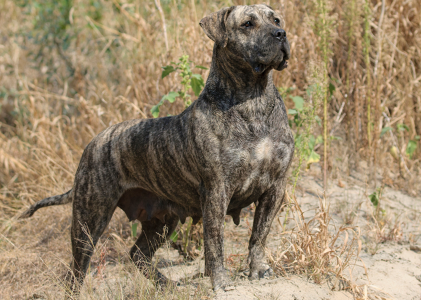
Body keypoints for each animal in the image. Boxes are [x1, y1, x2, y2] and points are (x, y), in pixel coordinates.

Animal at [20, 3, 292, 294]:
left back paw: (166, 284)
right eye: (247, 24)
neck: (253, 100)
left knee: (137, 254)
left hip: (160, 221)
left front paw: (259, 270)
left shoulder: (275, 187)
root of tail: (94, 142)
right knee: (77, 269)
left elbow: (259, 235)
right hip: (89, 219)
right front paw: (220, 282)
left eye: (276, 19)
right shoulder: (217, 190)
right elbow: (215, 242)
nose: (281, 34)